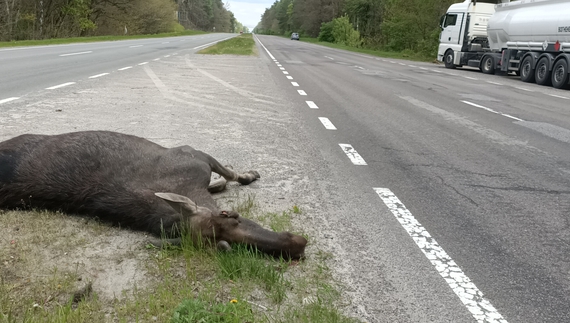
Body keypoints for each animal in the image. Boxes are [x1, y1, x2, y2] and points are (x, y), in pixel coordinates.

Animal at [0, 130, 306, 260]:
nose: (297, 245)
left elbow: (228, 173)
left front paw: (241, 176)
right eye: (225, 246)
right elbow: (229, 174)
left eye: (230, 214)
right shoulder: (194, 155)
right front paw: (243, 176)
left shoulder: (197, 156)